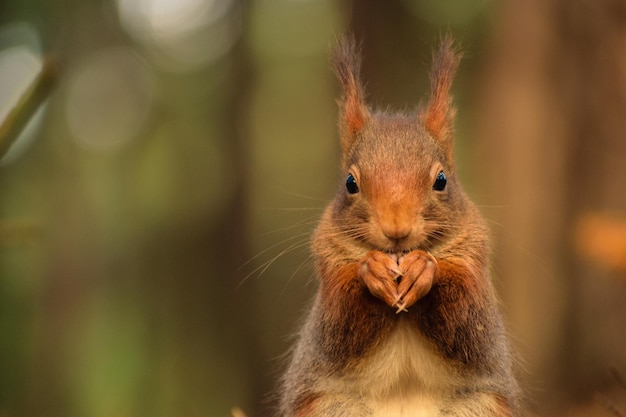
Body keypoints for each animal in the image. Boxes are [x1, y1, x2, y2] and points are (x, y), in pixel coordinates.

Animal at [276, 35, 516, 416]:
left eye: (441, 180)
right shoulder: (328, 270)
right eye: (350, 183)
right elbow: (338, 326)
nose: (396, 230)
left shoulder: (474, 263)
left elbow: (468, 323)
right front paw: (371, 269)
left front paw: (424, 267)